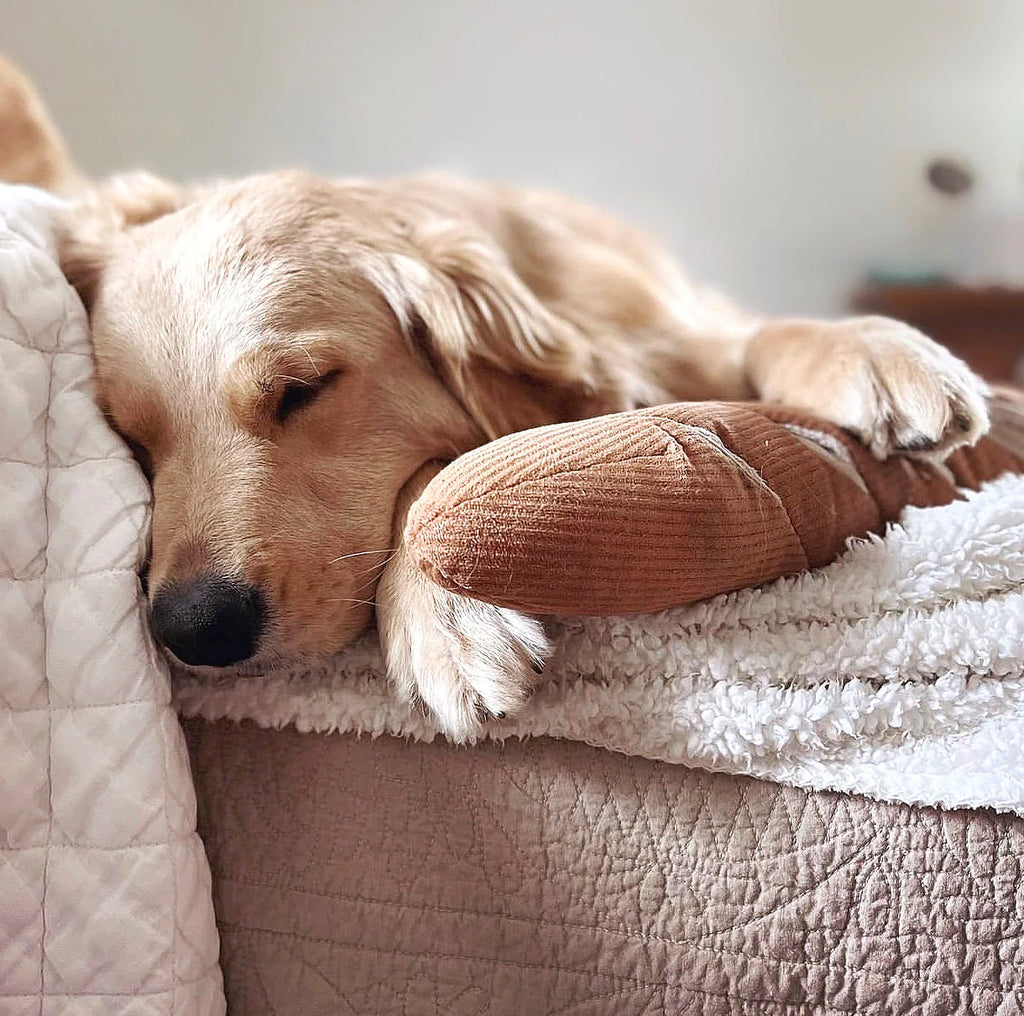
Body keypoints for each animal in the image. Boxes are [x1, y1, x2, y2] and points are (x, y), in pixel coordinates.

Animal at [4, 55, 987, 737]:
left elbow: (761, 331)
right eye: (130, 438)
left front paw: (882, 353)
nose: (195, 629)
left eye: (302, 391)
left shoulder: (670, 332)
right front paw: (448, 618)